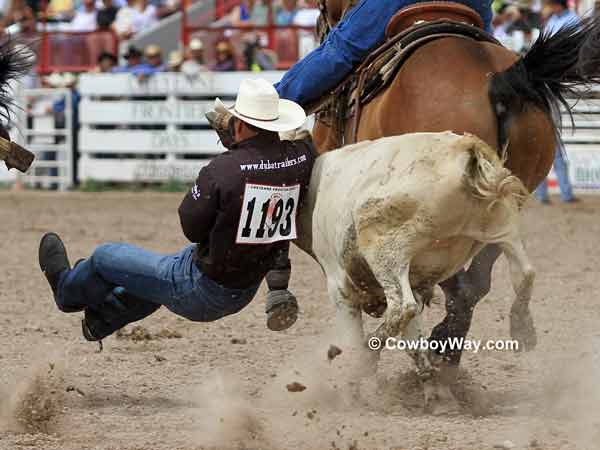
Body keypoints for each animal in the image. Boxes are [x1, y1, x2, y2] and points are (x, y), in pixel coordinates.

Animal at [310, 2, 600, 412]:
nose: (324, 25)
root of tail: (497, 79)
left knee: (451, 286)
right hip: (503, 203)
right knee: (476, 284)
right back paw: (465, 348)